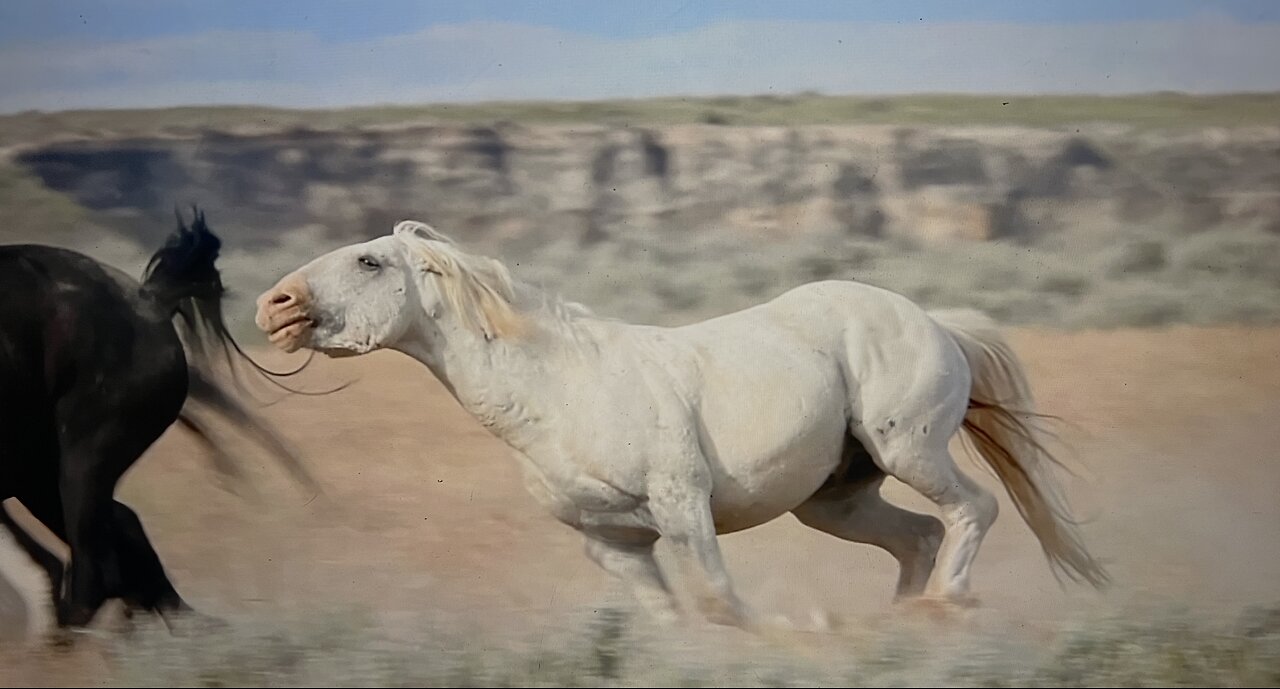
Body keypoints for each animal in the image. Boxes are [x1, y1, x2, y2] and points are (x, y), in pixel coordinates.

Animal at [252, 220, 1111, 627]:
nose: (274, 306)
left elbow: (724, 604)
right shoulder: (616, 544)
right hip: (834, 499)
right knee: (920, 537)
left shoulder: (681, 507)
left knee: (974, 509)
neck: (560, 389)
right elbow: (678, 620)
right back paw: (901, 621)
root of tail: (937, 321)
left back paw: (947, 605)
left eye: (368, 262)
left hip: (910, 448)